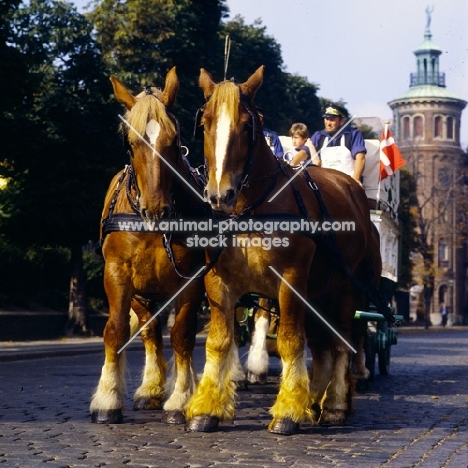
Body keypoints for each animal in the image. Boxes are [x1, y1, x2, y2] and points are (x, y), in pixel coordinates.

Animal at [90, 68, 207, 424]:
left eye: (174, 141)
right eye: (131, 143)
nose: (157, 210)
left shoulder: (192, 277)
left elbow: (182, 335)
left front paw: (181, 398)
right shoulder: (117, 273)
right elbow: (115, 330)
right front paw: (107, 398)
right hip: (142, 292)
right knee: (150, 329)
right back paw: (151, 388)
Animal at [185, 66, 382, 436]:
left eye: (246, 125)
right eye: (205, 123)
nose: (220, 195)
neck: (250, 210)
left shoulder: (290, 281)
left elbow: (291, 340)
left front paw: (287, 414)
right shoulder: (219, 282)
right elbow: (219, 341)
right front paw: (206, 409)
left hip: (346, 290)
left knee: (342, 341)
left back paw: (334, 404)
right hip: (318, 292)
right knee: (321, 346)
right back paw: (312, 401)